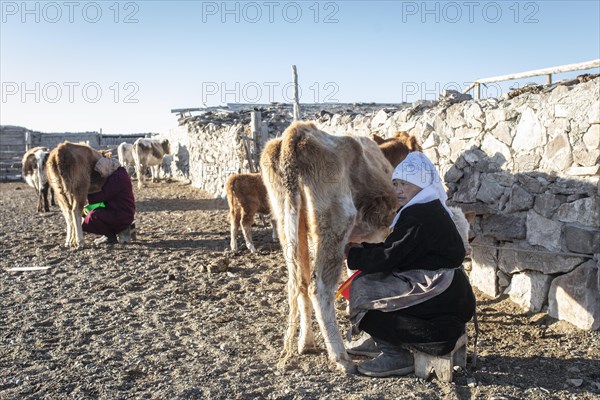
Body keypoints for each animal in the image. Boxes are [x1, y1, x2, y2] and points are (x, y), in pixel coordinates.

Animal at [258, 121, 396, 372]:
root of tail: (297, 130)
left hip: (289, 224)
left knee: (300, 283)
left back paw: (306, 342)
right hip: (335, 223)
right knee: (319, 287)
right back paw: (340, 356)